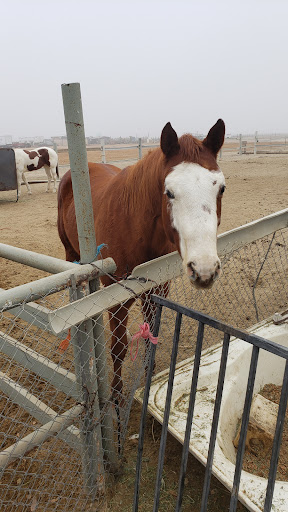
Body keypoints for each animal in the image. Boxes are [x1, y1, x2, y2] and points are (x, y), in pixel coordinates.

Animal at [57, 120, 226, 396]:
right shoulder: (116, 300)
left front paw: (149, 377)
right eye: (169, 192)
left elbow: (151, 338)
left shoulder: (156, 291)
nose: (204, 269)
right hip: (70, 254)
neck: (135, 227)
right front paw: (115, 396)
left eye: (221, 188)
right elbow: (118, 347)